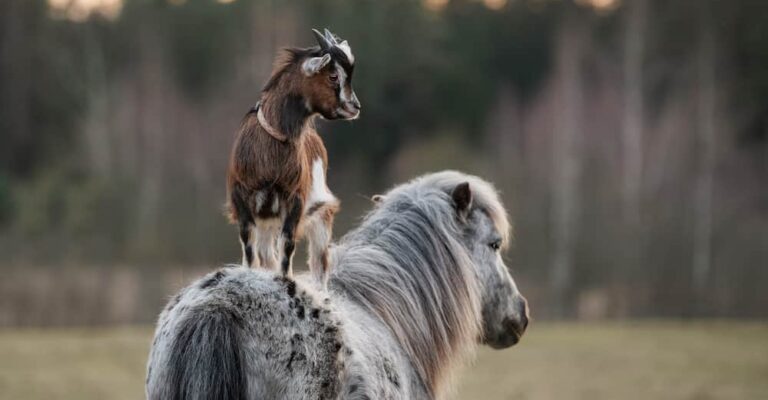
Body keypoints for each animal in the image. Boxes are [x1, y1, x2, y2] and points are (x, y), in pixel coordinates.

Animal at [226, 28, 360, 289]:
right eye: (333, 76)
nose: (355, 107)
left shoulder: (295, 198)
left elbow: (287, 245)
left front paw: (285, 279)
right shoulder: (242, 197)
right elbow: (249, 246)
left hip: (321, 215)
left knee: (319, 265)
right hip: (267, 219)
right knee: (266, 253)